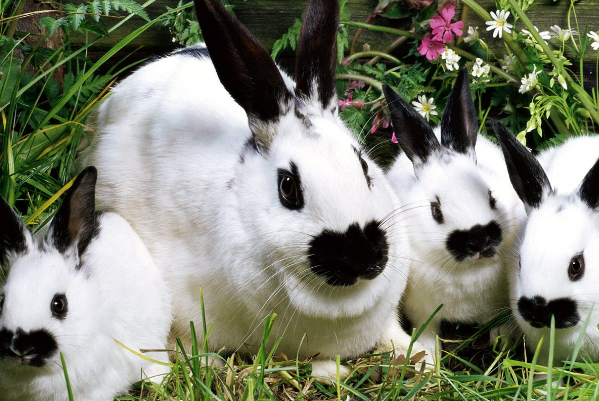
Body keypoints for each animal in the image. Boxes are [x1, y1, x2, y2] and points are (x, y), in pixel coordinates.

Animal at [384, 67, 524, 358]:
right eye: (435, 211)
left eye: (491, 196)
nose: (479, 239)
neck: (468, 271)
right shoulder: (422, 310)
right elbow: (427, 331)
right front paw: (428, 360)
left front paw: (502, 342)